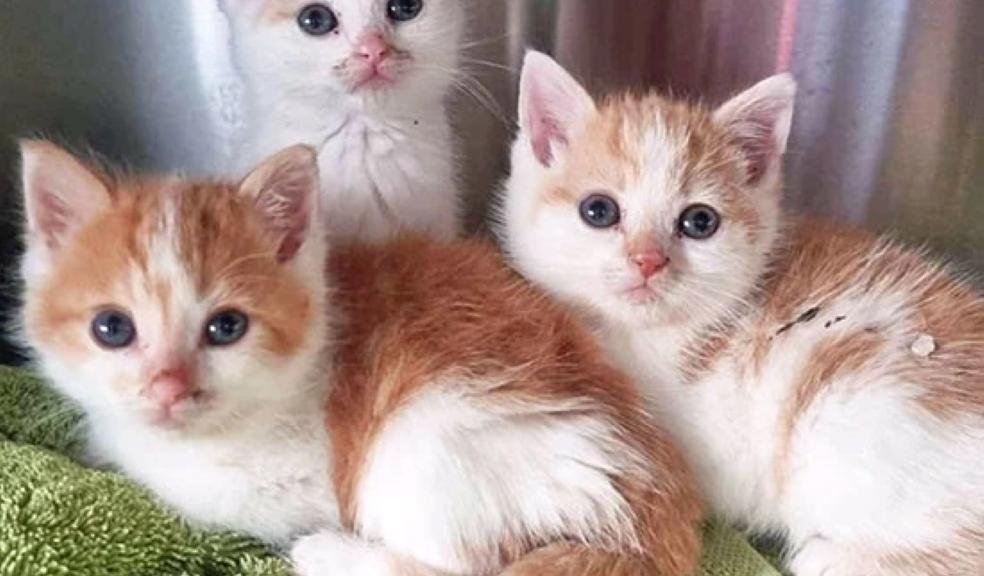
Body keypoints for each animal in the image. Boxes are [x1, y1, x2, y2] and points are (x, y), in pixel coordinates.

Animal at [19, 141, 704, 576]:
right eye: (112, 328)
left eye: (226, 327)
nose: (166, 387)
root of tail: (659, 525)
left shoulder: (288, 484)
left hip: (430, 434)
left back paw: (332, 556)